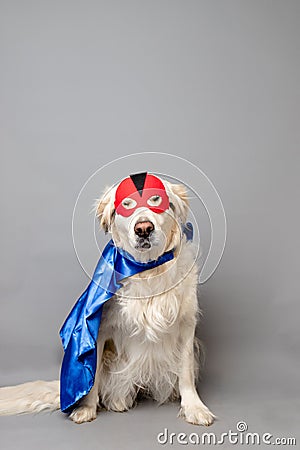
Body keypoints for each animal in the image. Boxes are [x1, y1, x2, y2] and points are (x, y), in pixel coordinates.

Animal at [0, 172, 216, 426]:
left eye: (156, 200)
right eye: (127, 205)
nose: (144, 228)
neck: (147, 269)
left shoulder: (186, 325)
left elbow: (186, 371)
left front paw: (194, 407)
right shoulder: (100, 329)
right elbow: (91, 378)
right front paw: (86, 408)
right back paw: (117, 402)